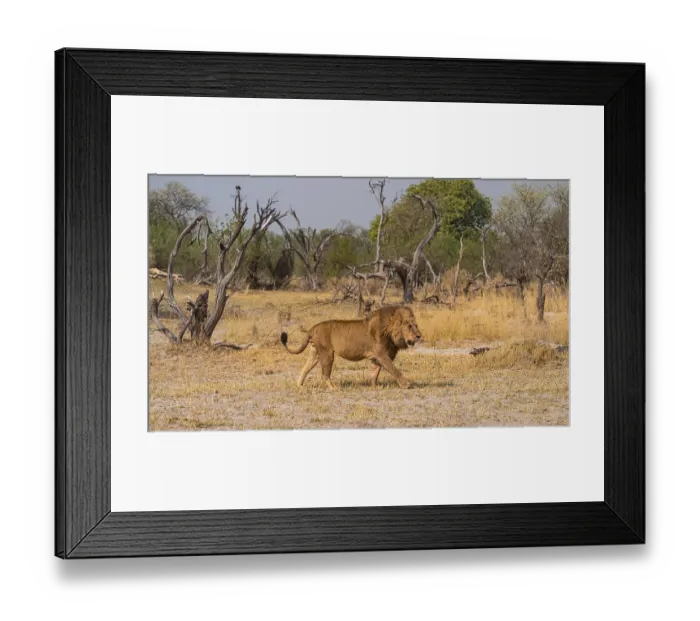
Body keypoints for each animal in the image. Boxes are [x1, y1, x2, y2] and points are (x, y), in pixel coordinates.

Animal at [280, 305, 423, 389]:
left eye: (416, 326)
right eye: (410, 326)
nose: (419, 336)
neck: (390, 331)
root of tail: (312, 328)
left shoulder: (377, 357)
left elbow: (375, 372)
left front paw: (374, 386)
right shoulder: (382, 354)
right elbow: (394, 369)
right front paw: (406, 384)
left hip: (315, 353)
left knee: (305, 368)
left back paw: (299, 385)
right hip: (327, 353)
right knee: (325, 374)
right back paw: (333, 387)